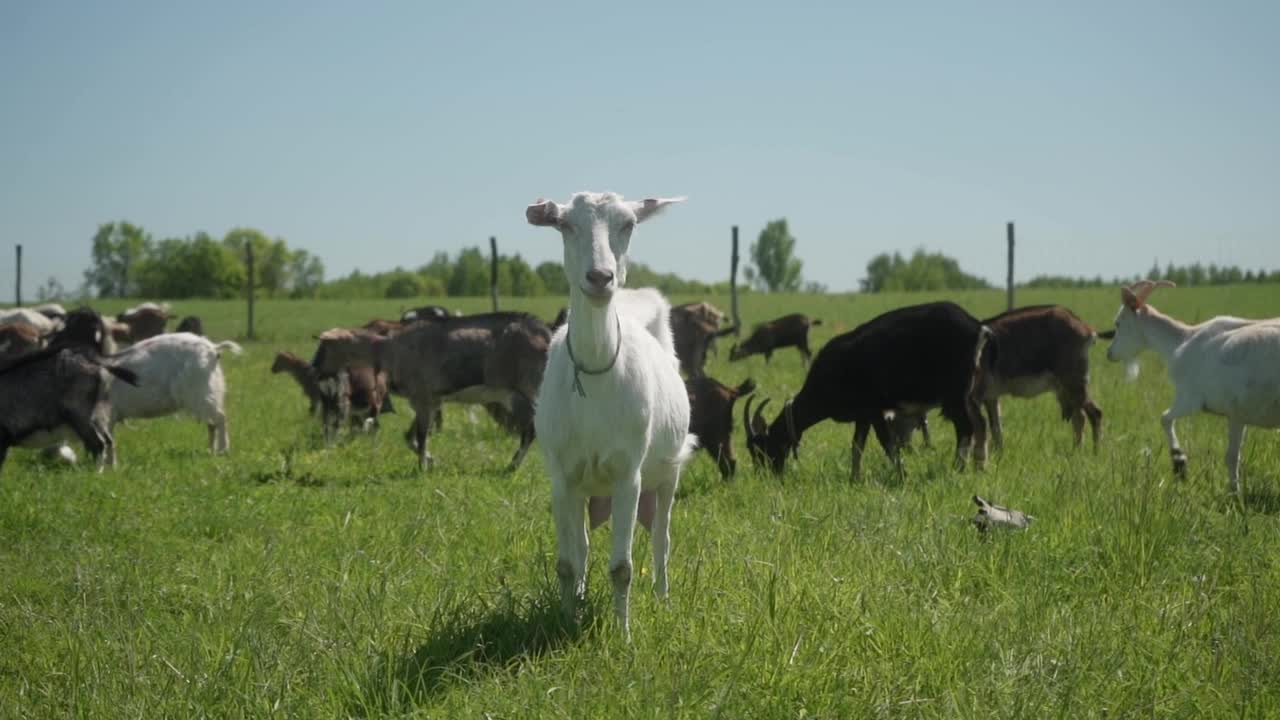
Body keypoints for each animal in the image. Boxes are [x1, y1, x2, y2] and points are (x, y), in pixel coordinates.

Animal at [103, 330, 241, 458]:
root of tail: (213, 348)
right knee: (212, 423)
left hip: (199, 393)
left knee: (220, 418)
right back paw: (211, 451)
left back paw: (223, 450)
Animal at [313, 310, 550, 468]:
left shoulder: (424, 398)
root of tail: (547, 333)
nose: (315, 369)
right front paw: (431, 461)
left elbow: (421, 436)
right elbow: (411, 437)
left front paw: (422, 468)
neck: (390, 348)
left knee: (532, 430)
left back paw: (512, 466)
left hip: (530, 390)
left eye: (324, 347)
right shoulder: (430, 401)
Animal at [524, 188, 696, 635]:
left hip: (668, 471)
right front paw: (566, 622)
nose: (600, 277)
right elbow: (567, 563)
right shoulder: (562, 475)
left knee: (662, 539)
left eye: (629, 224)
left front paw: (623, 635)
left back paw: (663, 598)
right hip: (585, 489)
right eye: (564, 224)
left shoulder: (627, 473)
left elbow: (622, 567)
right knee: (583, 549)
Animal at [972, 302, 1105, 448]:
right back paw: (1076, 450)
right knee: (1080, 418)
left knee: (1095, 414)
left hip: (1074, 383)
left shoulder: (976, 397)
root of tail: (1086, 329)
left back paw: (1095, 451)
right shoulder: (991, 397)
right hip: (1066, 389)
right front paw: (999, 453)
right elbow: (996, 430)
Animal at [1100, 280, 1280, 491]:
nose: (1110, 353)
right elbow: (1233, 456)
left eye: (1118, 323)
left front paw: (1180, 463)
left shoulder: (1191, 399)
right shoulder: (1237, 415)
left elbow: (1165, 418)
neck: (1182, 340)